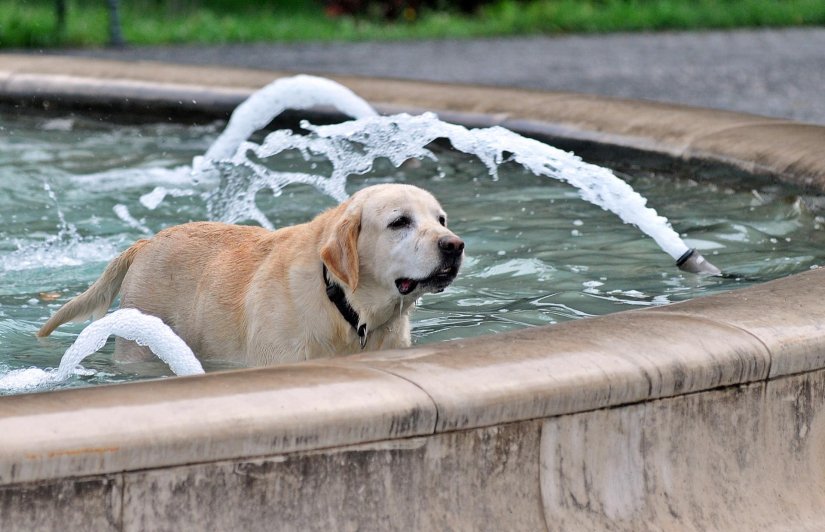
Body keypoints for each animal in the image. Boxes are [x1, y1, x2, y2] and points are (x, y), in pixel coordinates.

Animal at [37, 184, 464, 366]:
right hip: (142, 342)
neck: (344, 307)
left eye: (440, 219)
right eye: (399, 222)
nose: (454, 245)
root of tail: (147, 241)